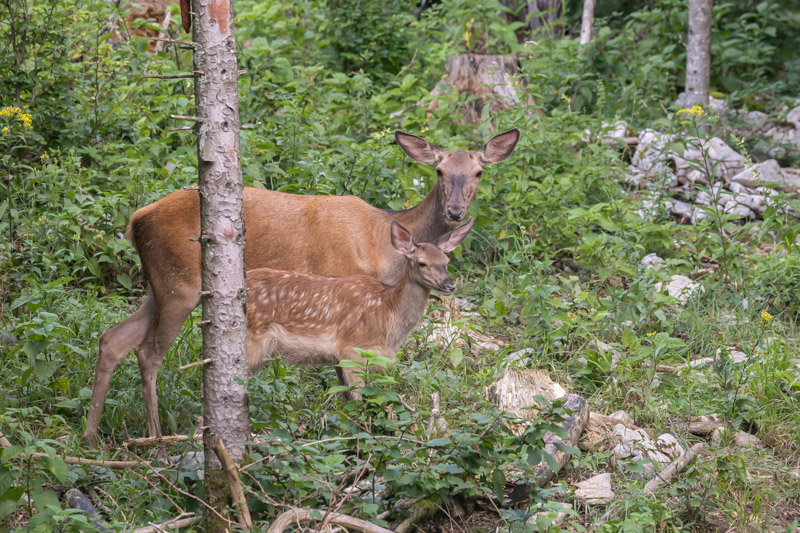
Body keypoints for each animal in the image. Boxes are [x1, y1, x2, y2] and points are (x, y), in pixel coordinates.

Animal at [250, 217, 472, 394]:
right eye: (422, 263)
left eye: (446, 261)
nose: (450, 285)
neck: (387, 313)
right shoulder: (352, 348)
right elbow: (358, 397)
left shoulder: (341, 357)